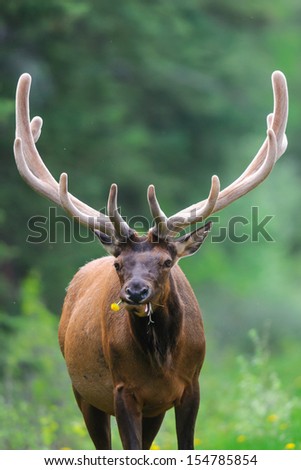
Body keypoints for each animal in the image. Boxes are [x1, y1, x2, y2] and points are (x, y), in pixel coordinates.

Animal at [12, 71, 288, 450]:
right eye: (118, 265)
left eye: (167, 262)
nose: (135, 293)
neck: (162, 364)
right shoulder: (123, 391)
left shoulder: (190, 388)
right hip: (83, 394)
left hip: (150, 411)